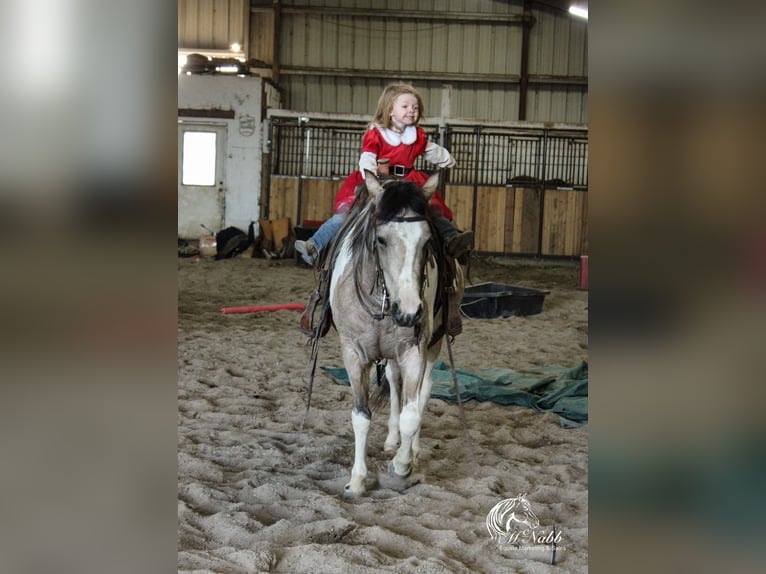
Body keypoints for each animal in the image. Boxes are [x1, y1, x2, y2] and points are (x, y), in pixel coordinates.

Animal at [316, 171, 464, 500]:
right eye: (381, 239)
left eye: (426, 241)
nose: (409, 311)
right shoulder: (353, 352)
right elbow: (361, 415)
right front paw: (357, 481)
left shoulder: (414, 350)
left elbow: (412, 414)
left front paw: (402, 465)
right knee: (395, 387)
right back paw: (391, 440)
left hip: (431, 346)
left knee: (422, 393)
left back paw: (412, 449)